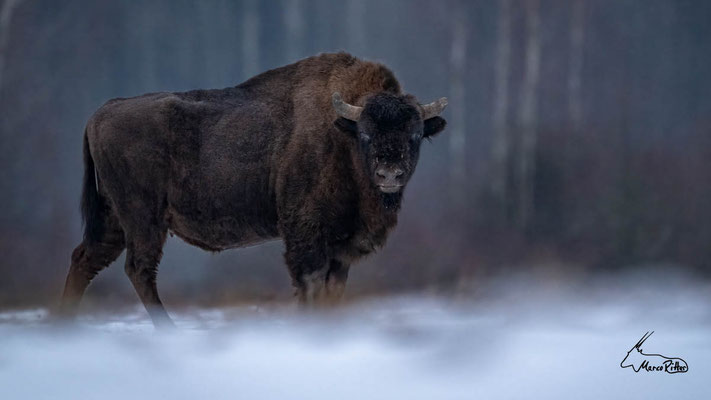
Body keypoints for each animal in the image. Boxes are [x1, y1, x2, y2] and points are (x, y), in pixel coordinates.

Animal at [59, 51, 444, 326]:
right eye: (365, 134)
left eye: (414, 135)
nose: (389, 174)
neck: (341, 135)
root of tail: (101, 113)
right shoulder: (306, 236)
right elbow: (310, 284)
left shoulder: (340, 248)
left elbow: (333, 292)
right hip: (142, 219)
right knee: (138, 268)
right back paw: (168, 328)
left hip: (113, 219)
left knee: (85, 259)